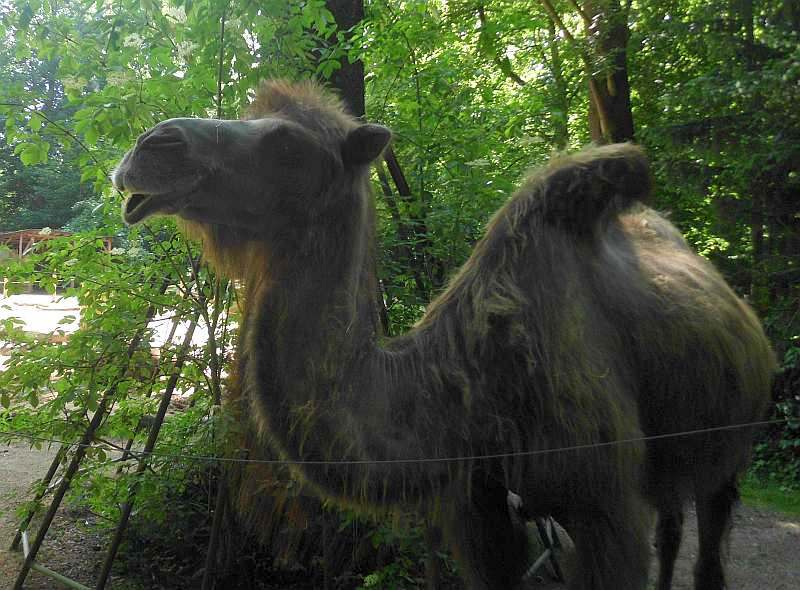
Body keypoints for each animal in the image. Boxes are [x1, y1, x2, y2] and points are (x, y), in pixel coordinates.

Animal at [112, 80, 776, 590]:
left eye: (287, 143)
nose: (149, 145)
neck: (471, 392)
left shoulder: (605, 508)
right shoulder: (476, 513)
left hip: (734, 447)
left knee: (709, 541)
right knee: (673, 523)